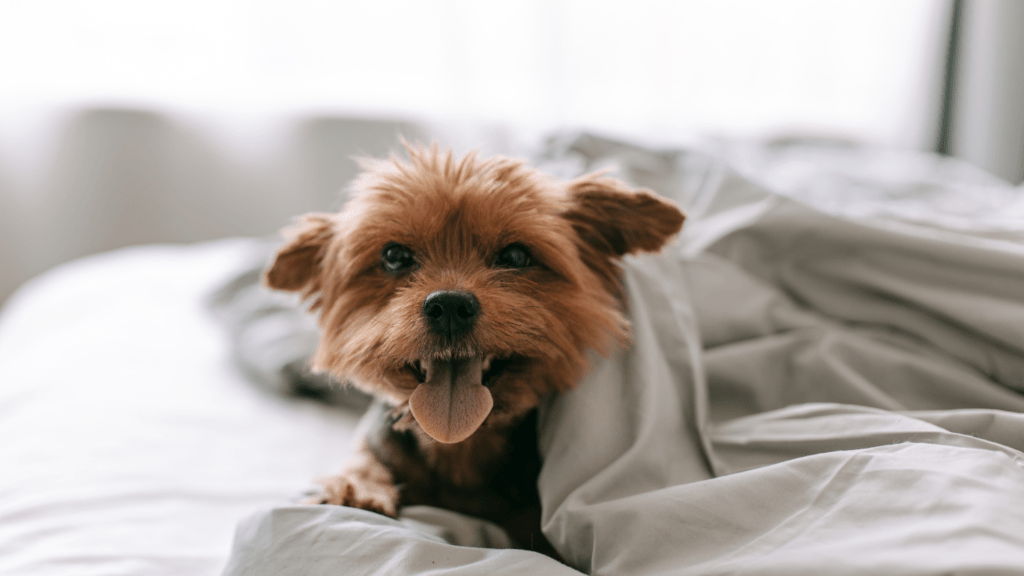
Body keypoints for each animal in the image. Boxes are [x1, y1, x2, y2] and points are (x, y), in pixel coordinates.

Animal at [264, 143, 684, 557]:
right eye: (394, 256)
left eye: (515, 256)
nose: (449, 305)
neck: (458, 446)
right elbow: (362, 462)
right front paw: (354, 490)